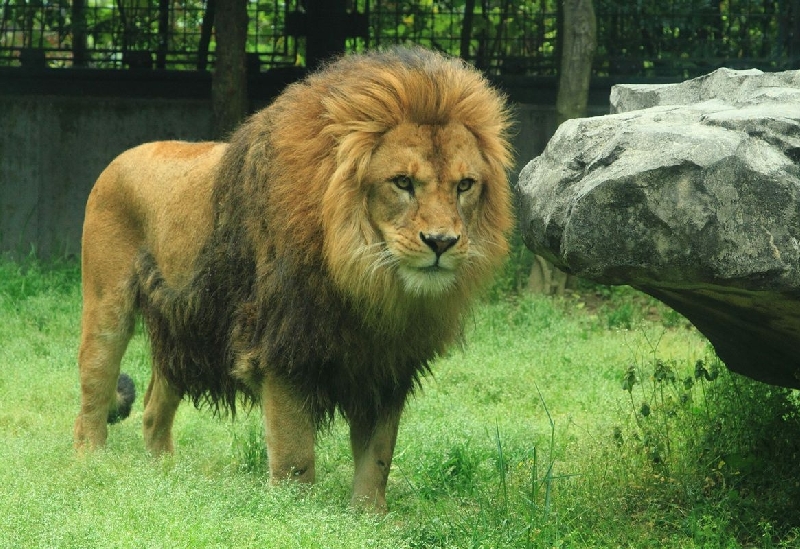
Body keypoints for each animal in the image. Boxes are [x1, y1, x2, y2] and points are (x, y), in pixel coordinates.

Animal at [75, 46, 512, 510]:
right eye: (402, 182)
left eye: (465, 185)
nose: (442, 242)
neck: (370, 283)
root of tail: (122, 157)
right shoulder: (283, 349)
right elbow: (293, 458)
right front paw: (292, 514)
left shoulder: (385, 364)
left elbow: (377, 459)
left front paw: (368, 517)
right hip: (107, 306)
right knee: (93, 392)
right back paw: (93, 467)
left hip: (183, 328)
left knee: (154, 409)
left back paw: (164, 477)